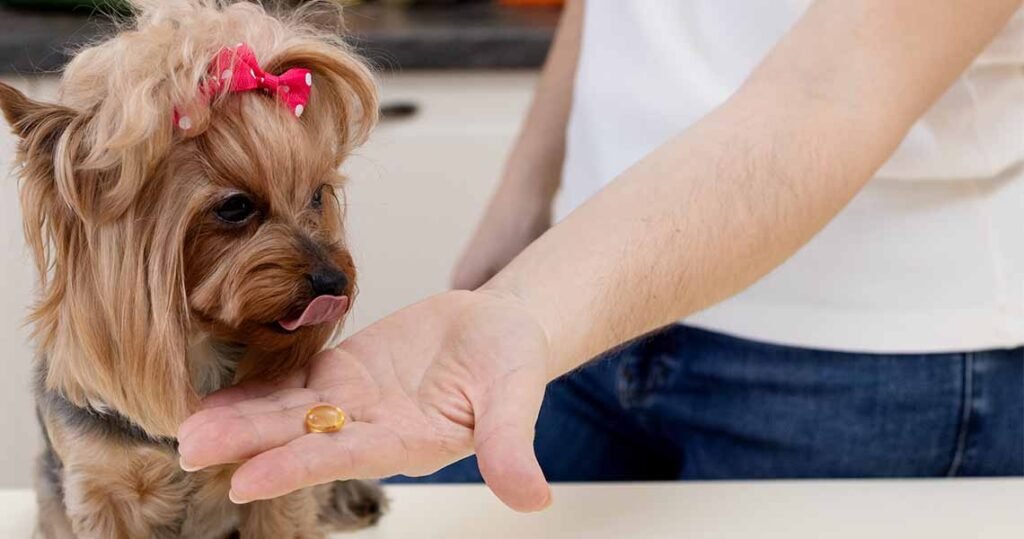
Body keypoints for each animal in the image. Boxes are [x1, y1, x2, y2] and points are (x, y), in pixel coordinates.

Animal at [1, 2, 385, 536]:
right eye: (235, 207)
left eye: (317, 195)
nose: (336, 281)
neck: (198, 347)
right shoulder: (99, 488)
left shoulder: (273, 479)